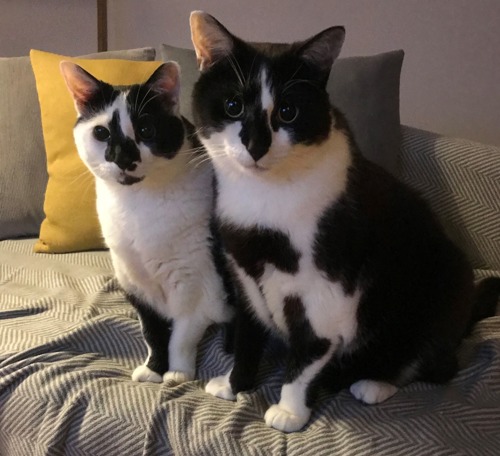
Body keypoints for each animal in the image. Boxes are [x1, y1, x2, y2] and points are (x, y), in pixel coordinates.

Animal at [60, 59, 234, 382]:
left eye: (146, 129)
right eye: (101, 133)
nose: (122, 157)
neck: (138, 205)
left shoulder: (197, 288)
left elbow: (181, 335)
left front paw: (177, 373)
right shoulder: (134, 283)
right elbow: (151, 332)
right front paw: (153, 369)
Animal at [188, 10, 500, 432]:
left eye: (288, 111)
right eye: (233, 105)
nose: (255, 145)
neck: (264, 202)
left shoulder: (327, 291)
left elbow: (309, 350)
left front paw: (290, 409)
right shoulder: (243, 271)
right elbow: (247, 336)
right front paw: (236, 383)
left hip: (442, 285)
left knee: (438, 365)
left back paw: (373, 382)